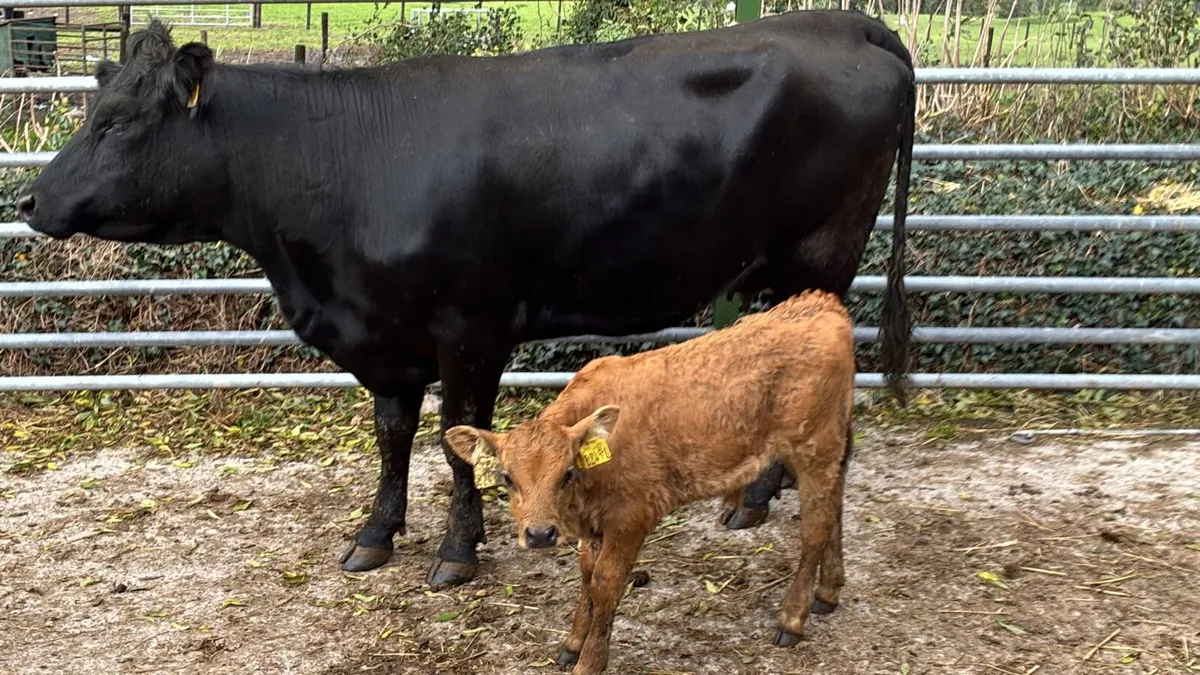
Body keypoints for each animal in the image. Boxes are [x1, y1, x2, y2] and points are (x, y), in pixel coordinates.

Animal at [18, 11, 913, 589]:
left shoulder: (472, 327)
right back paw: (764, 491)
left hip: (823, 254)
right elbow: (391, 437)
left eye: (118, 122)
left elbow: (456, 442)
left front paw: (458, 550)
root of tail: (844, 21)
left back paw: (764, 498)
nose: (28, 199)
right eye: (95, 112)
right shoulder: (384, 336)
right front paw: (375, 534)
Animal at [444, 289, 857, 674]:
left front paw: (591, 658)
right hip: (830, 449)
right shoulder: (595, 524)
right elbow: (587, 576)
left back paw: (792, 618)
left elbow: (605, 582)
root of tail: (822, 303)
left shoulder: (631, 517)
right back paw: (828, 591)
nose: (540, 534)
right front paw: (573, 643)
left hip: (814, 448)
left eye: (567, 473)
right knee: (834, 507)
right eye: (507, 478)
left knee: (816, 529)